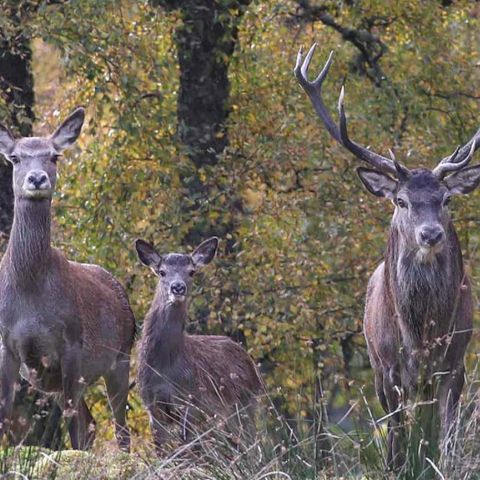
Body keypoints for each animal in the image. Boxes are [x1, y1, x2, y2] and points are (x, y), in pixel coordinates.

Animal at [0, 109, 135, 450]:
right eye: (15, 158)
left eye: (54, 156)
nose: (37, 178)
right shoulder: (6, 344)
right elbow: (4, 414)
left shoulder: (72, 342)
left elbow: (73, 423)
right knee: (92, 422)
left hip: (121, 356)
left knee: (118, 425)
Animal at [134, 238, 262, 452]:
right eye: (162, 272)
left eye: (191, 271)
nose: (178, 288)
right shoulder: (151, 405)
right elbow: (162, 451)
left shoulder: (192, 402)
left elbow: (188, 449)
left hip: (245, 406)